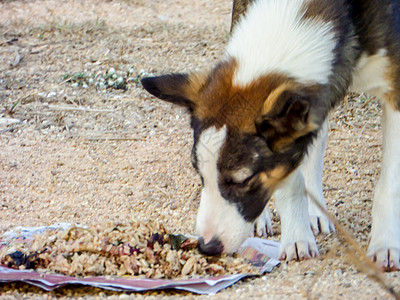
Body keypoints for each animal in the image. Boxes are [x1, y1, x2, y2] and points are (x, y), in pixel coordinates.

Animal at [141, 0, 400, 272]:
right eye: (200, 175)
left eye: (243, 180)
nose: (207, 247)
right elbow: (291, 179)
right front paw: (297, 236)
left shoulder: (395, 91)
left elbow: (388, 185)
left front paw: (385, 245)